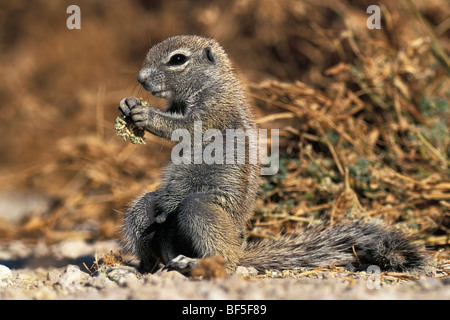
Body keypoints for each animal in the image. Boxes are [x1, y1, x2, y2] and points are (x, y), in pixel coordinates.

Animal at [118, 35, 426, 276]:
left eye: (178, 59)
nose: (140, 79)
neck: (214, 85)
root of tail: (239, 246)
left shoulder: (210, 114)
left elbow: (180, 127)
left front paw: (145, 114)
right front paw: (128, 104)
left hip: (201, 209)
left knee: (225, 259)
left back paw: (195, 263)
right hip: (146, 210)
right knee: (151, 221)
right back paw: (144, 267)